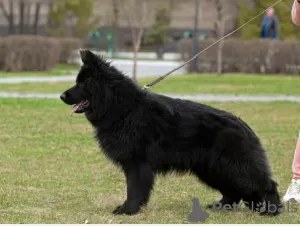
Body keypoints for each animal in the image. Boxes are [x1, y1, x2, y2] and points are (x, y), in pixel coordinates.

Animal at [60, 49, 282, 215]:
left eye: (81, 83)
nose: (61, 96)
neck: (124, 109)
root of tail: (244, 125)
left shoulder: (138, 164)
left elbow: (134, 189)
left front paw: (128, 210)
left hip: (233, 167)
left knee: (267, 184)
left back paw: (270, 210)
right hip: (213, 170)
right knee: (233, 192)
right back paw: (221, 206)